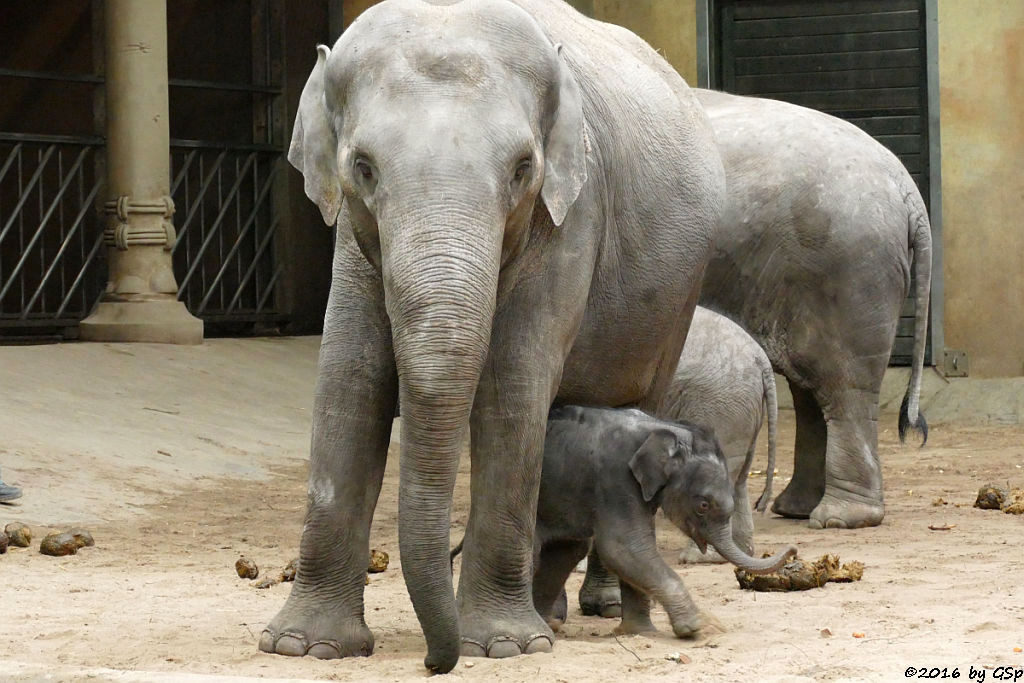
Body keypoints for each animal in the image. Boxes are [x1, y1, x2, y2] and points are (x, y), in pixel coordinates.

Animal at [264, 0, 729, 671]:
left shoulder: (571, 214)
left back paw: (597, 610)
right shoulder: (353, 232)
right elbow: (349, 381)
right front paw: (305, 645)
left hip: (676, 299)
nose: (434, 662)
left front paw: (505, 646)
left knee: (633, 403)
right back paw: (555, 612)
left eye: (522, 169)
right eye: (363, 167)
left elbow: (513, 385)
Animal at [696, 89, 929, 528]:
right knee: (810, 385)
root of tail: (906, 189)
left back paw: (837, 518)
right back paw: (796, 509)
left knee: (841, 382)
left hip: (847, 266)